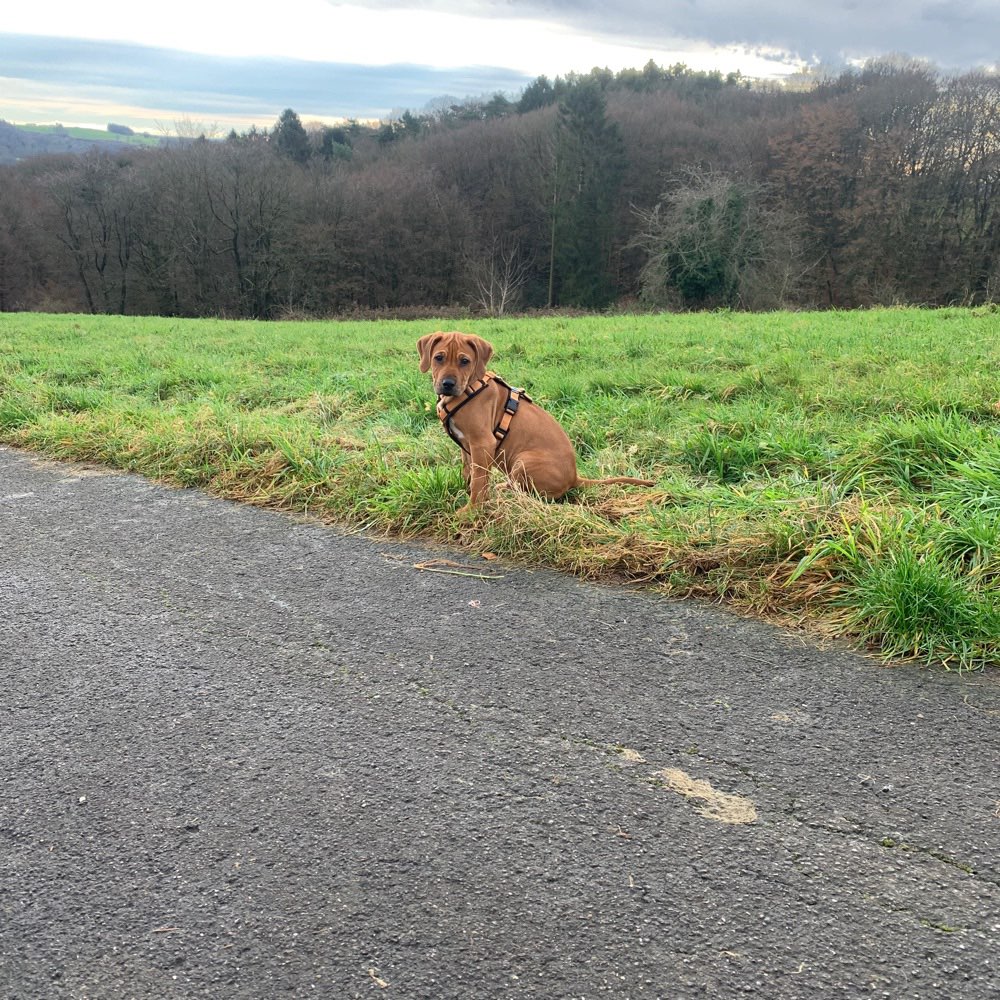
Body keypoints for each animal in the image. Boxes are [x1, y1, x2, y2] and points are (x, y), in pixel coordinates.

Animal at [416, 334, 656, 512]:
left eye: (464, 361)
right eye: (438, 358)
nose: (447, 384)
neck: (469, 388)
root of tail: (574, 478)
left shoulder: (482, 443)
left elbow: (478, 480)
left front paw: (471, 510)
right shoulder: (467, 446)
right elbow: (469, 473)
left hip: (523, 461)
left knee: (532, 494)